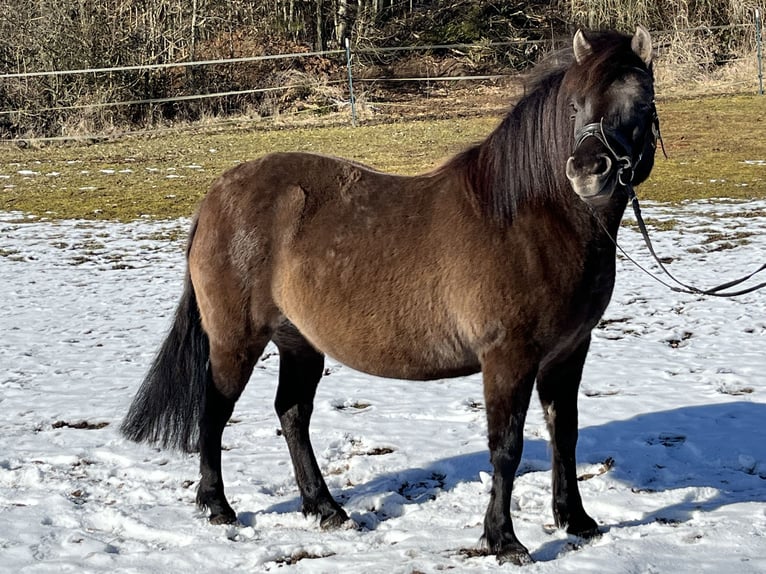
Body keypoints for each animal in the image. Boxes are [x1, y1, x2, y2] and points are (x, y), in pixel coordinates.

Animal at [121, 28, 660, 568]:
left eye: (641, 102)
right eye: (573, 106)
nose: (589, 171)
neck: (531, 220)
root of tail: (216, 197)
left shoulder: (568, 353)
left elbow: (563, 433)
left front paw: (577, 521)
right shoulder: (508, 358)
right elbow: (505, 447)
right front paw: (504, 540)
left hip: (299, 343)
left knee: (292, 413)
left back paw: (325, 508)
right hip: (235, 341)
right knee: (214, 411)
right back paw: (218, 507)